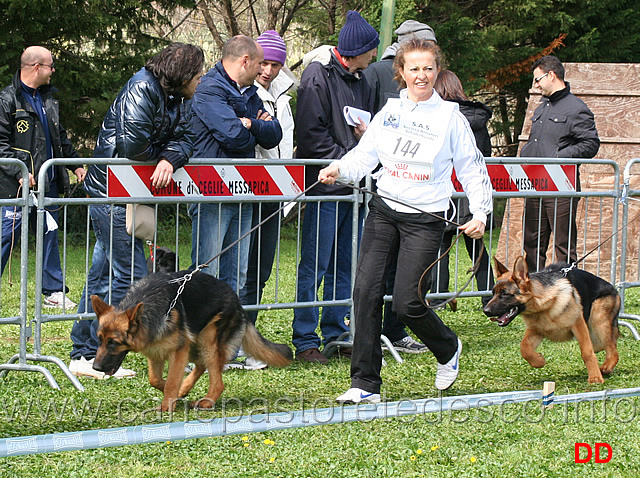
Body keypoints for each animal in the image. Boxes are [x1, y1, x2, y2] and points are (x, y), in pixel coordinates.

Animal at [91, 270, 294, 408]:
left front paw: (167, 405)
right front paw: (174, 392)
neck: (150, 304)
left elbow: (172, 380)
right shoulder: (156, 351)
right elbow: (155, 379)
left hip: (207, 340)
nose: (96, 368)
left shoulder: (178, 350)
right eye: (99, 340)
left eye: (113, 343)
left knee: (217, 382)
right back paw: (185, 389)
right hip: (196, 345)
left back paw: (206, 402)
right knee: (202, 365)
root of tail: (237, 301)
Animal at [484, 254, 620, 384]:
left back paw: (606, 367)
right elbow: (524, 348)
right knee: (603, 345)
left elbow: (587, 352)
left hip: (598, 322)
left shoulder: (578, 324)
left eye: (505, 294)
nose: (485, 311)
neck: (543, 308)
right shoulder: (536, 331)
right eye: (493, 293)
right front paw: (539, 361)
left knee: (612, 350)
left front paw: (595, 378)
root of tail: (614, 288)